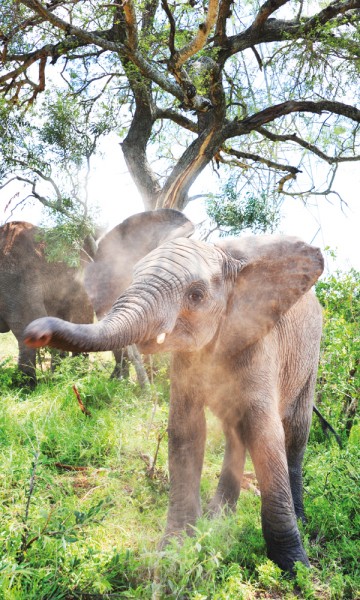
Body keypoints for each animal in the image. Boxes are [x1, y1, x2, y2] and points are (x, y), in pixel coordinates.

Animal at [23, 231, 324, 572]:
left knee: (295, 433)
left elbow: (265, 434)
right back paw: (218, 519)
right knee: (235, 434)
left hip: (311, 356)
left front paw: (295, 568)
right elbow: (185, 430)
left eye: (196, 295)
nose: (35, 333)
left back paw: (297, 519)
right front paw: (174, 551)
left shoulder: (260, 340)